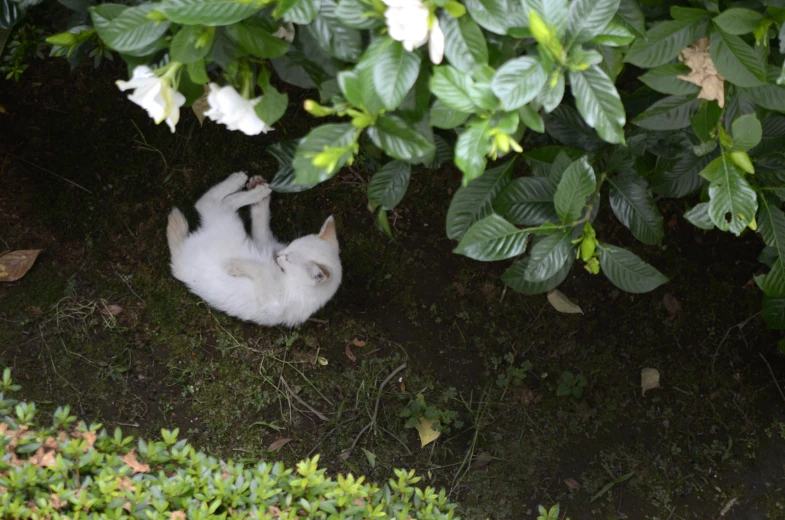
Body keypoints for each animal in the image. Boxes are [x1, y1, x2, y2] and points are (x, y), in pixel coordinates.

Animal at [165, 173, 340, 328]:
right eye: (290, 245)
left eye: (289, 258)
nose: (277, 255)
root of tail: (178, 260)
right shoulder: (265, 242)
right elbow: (261, 225)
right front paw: (261, 206)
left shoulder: (273, 303)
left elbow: (260, 268)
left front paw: (233, 266)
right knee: (215, 202)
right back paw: (251, 188)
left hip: (227, 222)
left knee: (209, 203)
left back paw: (251, 186)